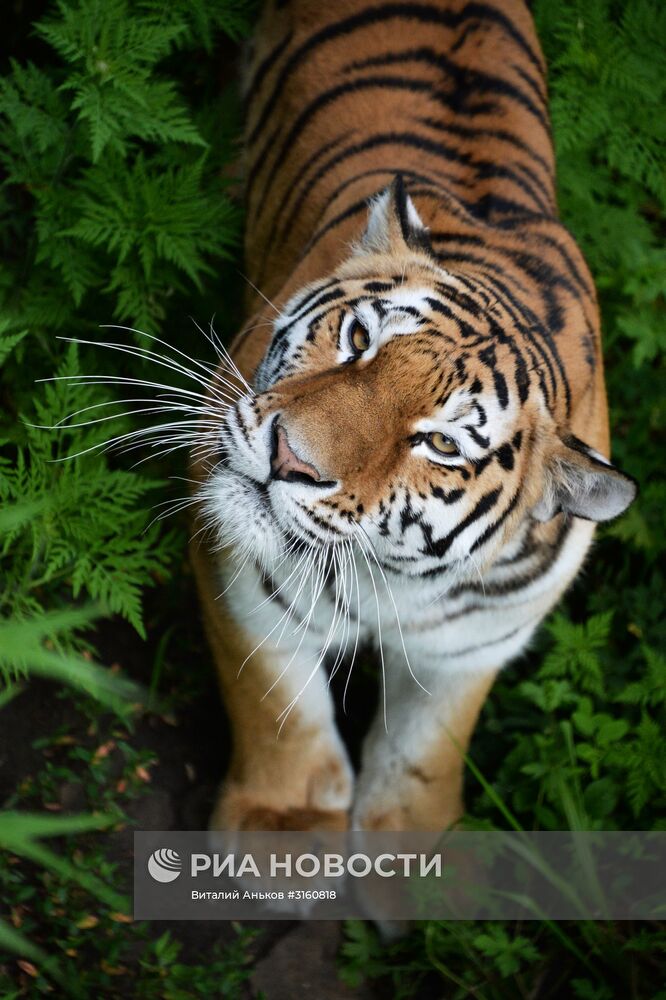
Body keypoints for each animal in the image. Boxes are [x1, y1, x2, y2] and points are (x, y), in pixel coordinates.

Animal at [188, 0, 632, 832]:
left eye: (441, 444)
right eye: (360, 339)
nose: (289, 457)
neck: (386, 575)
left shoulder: (473, 645)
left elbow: (421, 765)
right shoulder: (244, 581)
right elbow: (279, 721)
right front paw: (280, 821)